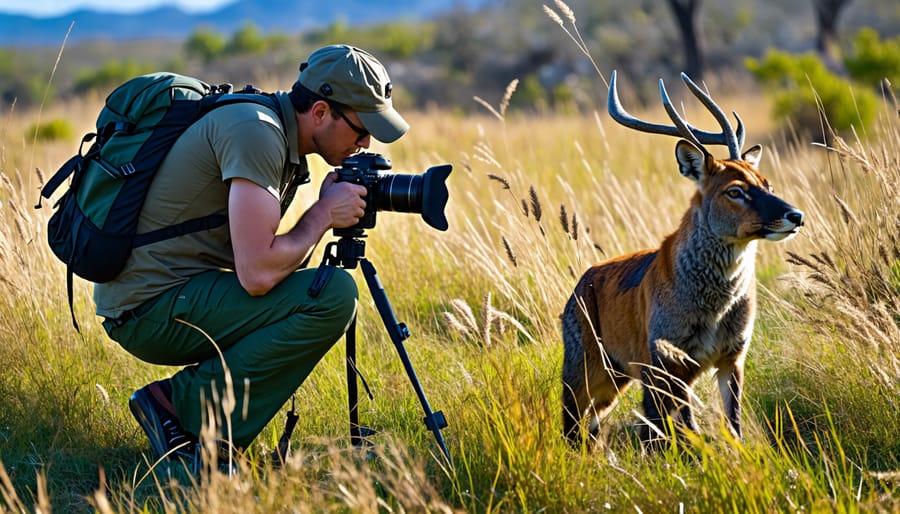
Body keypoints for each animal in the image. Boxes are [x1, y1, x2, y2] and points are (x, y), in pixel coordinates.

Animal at [560, 70, 804, 446]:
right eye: (735, 190)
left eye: (768, 184)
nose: (795, 215)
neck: (712, 311)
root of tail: (580, 286)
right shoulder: (669, 360)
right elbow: (684, 430)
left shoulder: (733, 356)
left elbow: (732, 426)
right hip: (581, 361)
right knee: (572, 422)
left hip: (616, 375)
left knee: (595, 425)